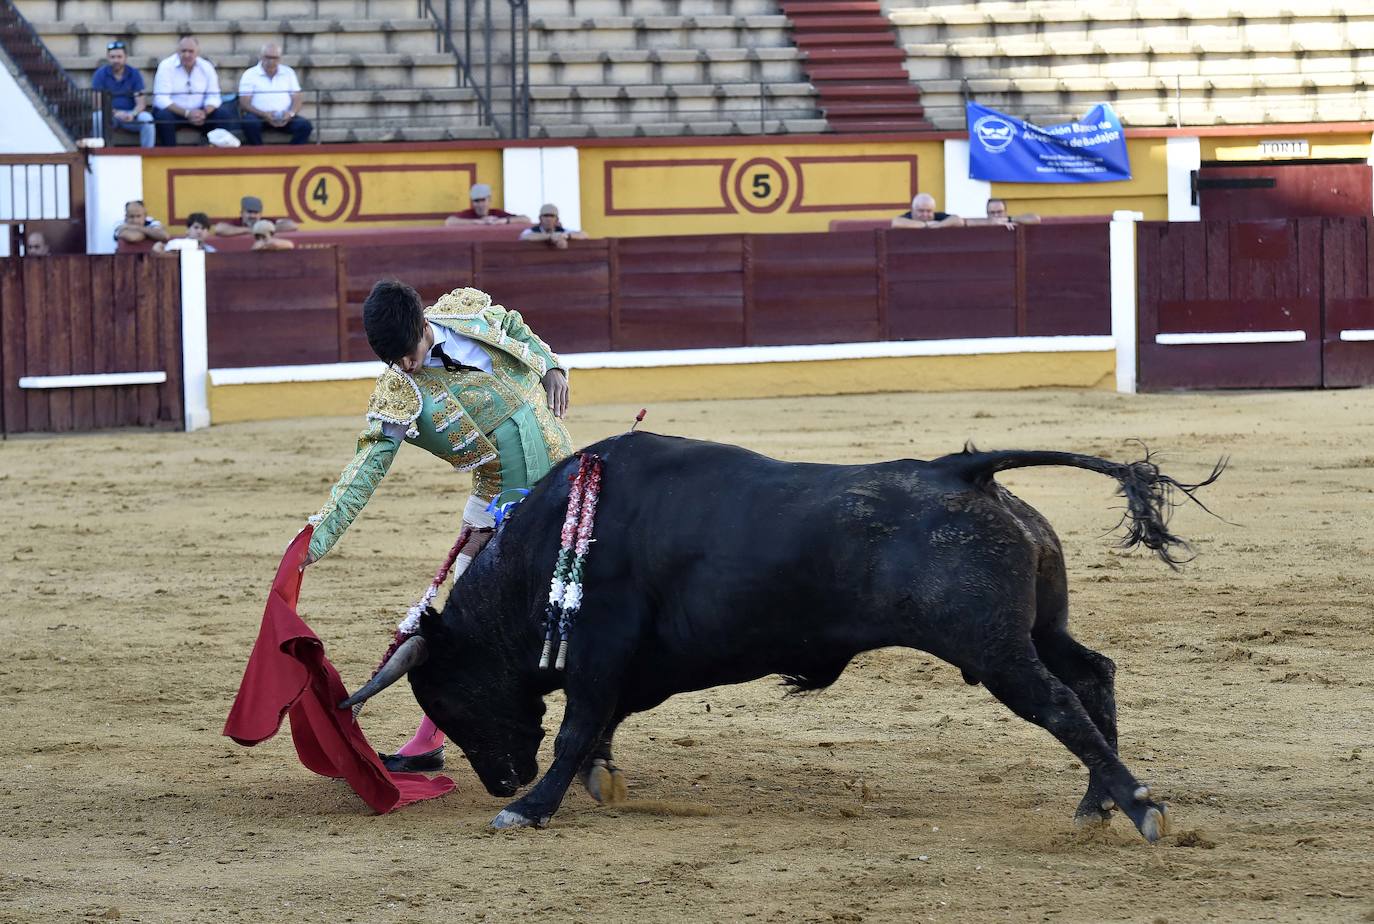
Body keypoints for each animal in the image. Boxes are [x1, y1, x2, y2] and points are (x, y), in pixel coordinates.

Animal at [346, 429, 1225, 841]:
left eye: (447, 693)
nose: (501, 782)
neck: (544, 554)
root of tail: (960, 471)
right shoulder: (631, 665)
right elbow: (599, 725)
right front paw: (597, 780)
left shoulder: (600, 650)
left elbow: (574, 728)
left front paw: (533, 808)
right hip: (1038, 630)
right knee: (1093, 674)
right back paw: (1096, 805)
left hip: (992, 648)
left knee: (1060, 705)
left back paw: (1138, 806)